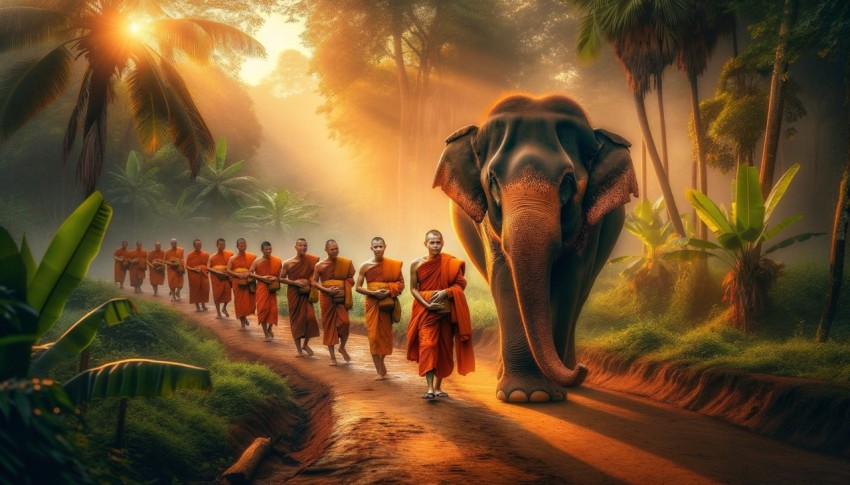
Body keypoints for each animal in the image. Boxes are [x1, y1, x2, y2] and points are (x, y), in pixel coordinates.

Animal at [430, 93, 636, 400]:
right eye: (493, 182)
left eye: (568, 182)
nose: (585, 368)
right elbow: (505, 277)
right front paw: (524, 395)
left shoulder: (590, 225)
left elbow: (568, 281)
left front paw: (547, 393)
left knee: (581, 294)